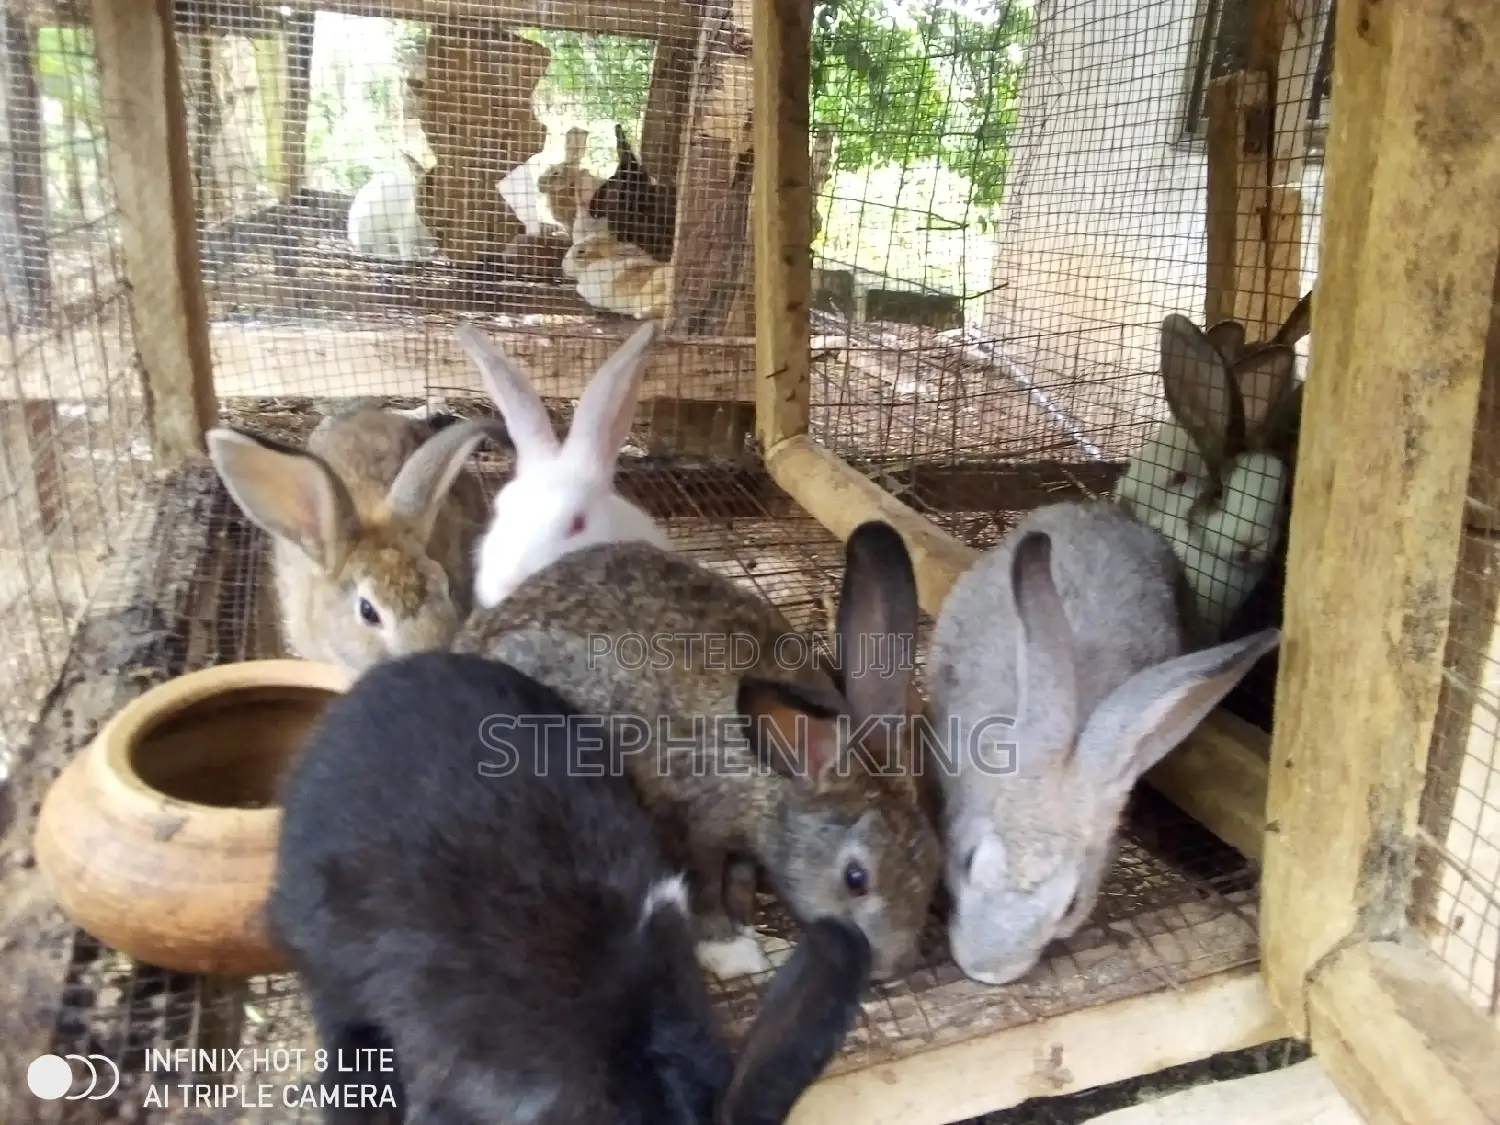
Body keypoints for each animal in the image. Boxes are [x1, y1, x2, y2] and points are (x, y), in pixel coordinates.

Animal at [451, 519, 943, 983]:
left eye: (934, 862)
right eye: (855, 879)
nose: (894, 968)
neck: (774, 778)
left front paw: (743, 916)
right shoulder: (695, 825)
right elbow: (703, 888)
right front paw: (728, 945)